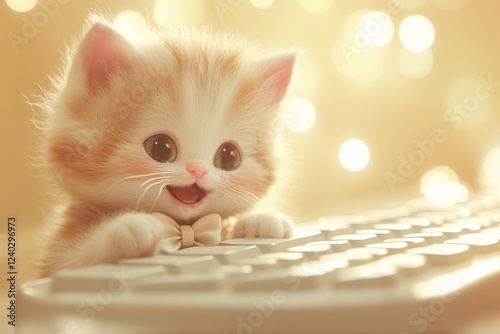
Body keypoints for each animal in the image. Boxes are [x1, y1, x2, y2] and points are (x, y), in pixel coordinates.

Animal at [35, 15, 294, 278]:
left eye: (230, 157)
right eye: (160, 148)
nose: (198, 169)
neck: (185, 227)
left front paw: (261, 220)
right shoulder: (56, 260)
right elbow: (73, 258)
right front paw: (127, 226)